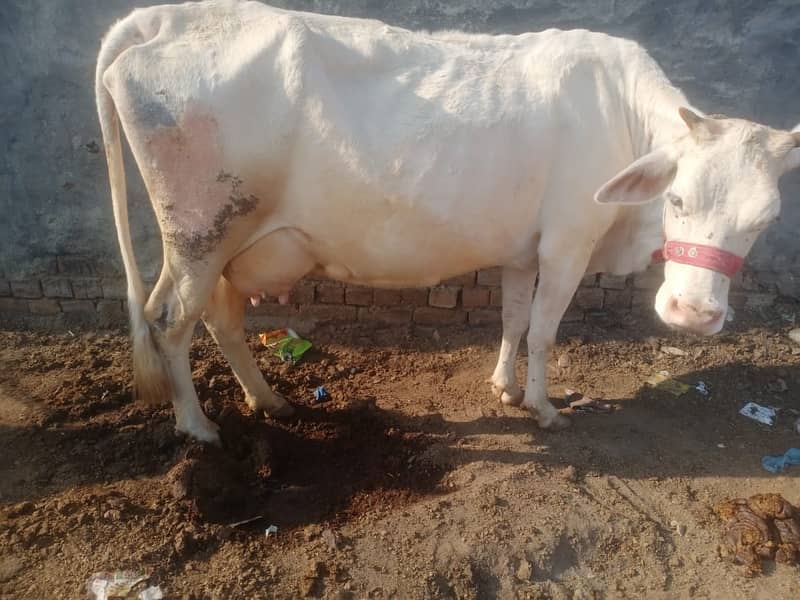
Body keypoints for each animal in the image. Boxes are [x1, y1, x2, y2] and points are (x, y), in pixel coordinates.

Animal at [95, 0, 800, 440]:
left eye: (765, 219)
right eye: (677, 199)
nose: (694, 315)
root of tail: (162, 18)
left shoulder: (522, 248)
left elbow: (514, 321)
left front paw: (505, 389)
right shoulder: (568, 243)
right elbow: (545, 332)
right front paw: (543, 407)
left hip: (226, 246)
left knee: (220, 319)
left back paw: (268, 400)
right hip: (199, 233)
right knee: (169, 319)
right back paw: (198, 426)